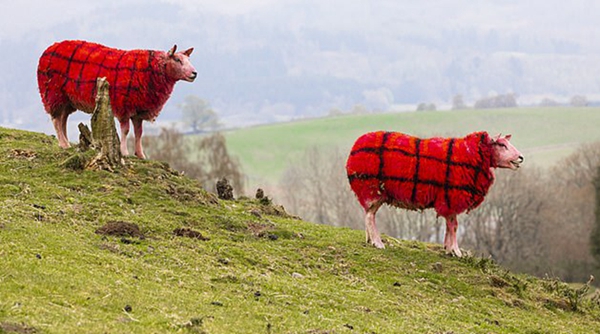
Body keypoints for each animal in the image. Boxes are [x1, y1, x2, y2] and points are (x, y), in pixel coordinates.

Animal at [37, 39, 197, 159]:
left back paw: (66, 143)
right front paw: (124, 152)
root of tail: (50, 48)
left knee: (63, 119)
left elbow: (139, 132)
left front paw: (141, 154)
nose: (194, 73)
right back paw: (63, 144)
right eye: (177, 59)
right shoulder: (124, 106)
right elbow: (125, 130)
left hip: (67, 99)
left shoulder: (139, 109)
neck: (152, 70)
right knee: (56, 120)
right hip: (53, 93)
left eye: (188, 59)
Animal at [344, 130, 524, 256]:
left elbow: (450, 225)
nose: (521, 158)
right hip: (371, 189)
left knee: (369, 215)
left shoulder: (449, 201)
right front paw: (456, 251)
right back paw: (377, 242)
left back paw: (369, 240)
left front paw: (448, 248)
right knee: (370, 217)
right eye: (502, 145)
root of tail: (354, 149)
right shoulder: (451, 198)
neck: (472, 155)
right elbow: (454, 226)